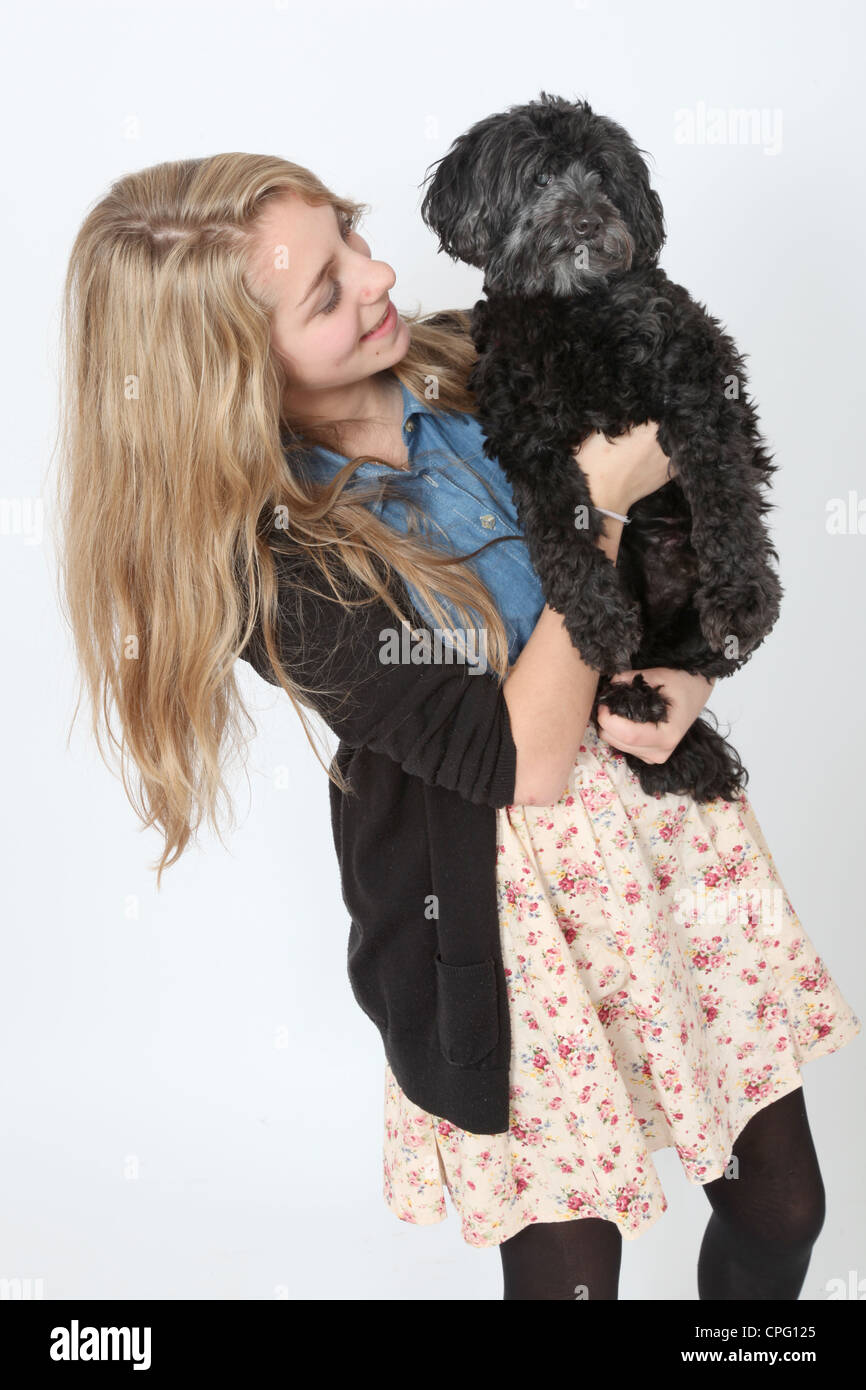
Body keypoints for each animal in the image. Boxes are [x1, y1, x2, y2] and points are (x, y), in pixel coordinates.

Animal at [419, 89, 783, 806]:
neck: (571, 313)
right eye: (539, 177)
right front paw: (596, 621)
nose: (587, 221)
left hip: (693, 639)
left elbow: (722, 485)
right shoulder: (526, 436)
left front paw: (740, 595)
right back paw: (636, 700)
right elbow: (561, 530)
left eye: (605, 176)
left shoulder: (695, 377)